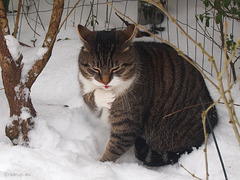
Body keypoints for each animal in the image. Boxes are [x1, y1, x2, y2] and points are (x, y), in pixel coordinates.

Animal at [77, 24, 218, 167]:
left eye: (116, 68)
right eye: (95, 69)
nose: (105, 81)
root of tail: (212, 116)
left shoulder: (127, 123)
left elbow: (114, 148)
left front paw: (101, 165)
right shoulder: (86, 90)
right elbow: (90, 97)